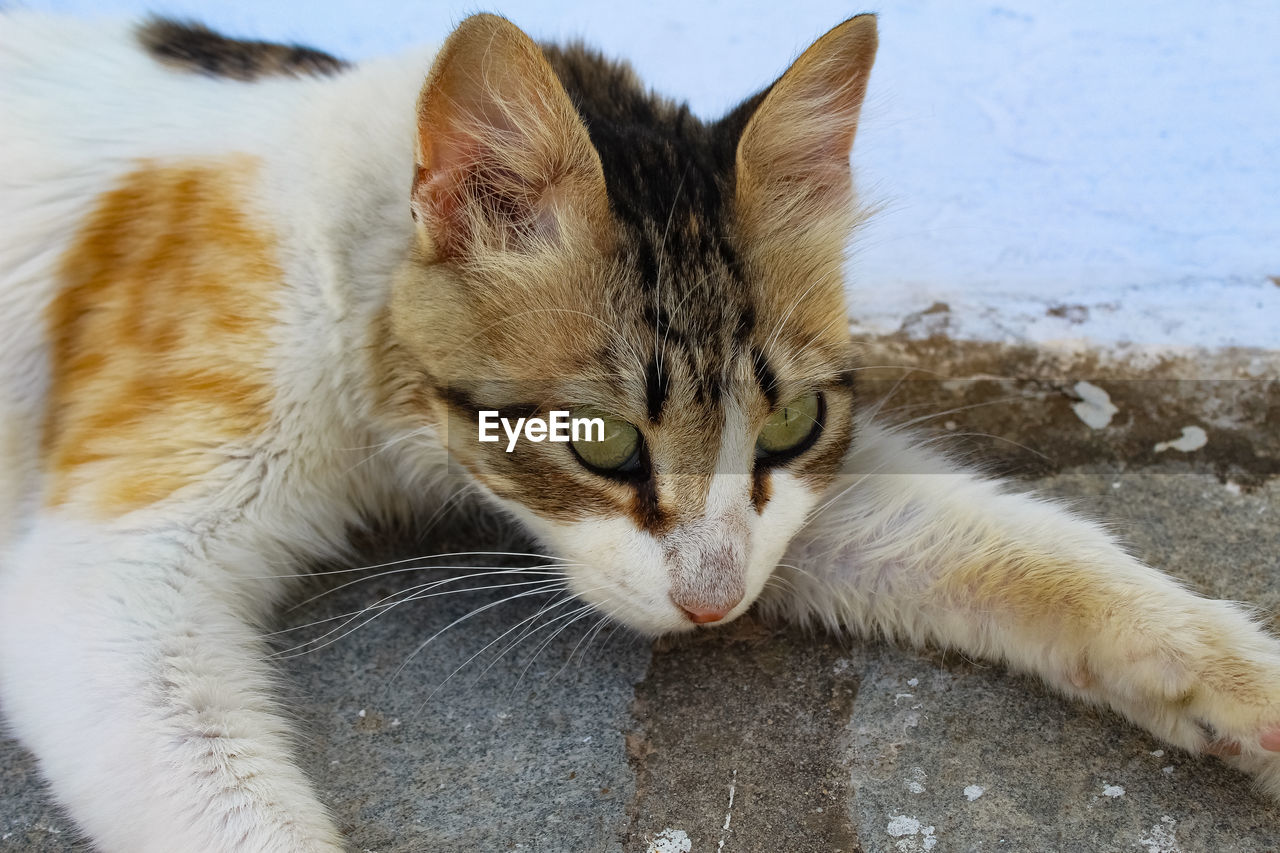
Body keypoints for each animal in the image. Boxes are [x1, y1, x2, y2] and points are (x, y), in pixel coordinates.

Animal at [2, 8, 1280, 850]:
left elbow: (1022, 549)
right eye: (604, 442)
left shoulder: (775, 520)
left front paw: (1239, 686)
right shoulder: (114, 574)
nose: (712, 610)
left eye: (792, 422)